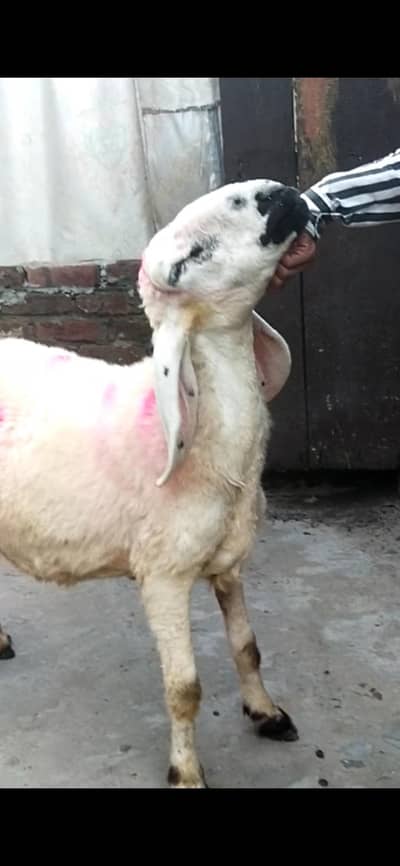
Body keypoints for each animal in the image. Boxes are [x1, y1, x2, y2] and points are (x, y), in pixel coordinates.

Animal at [0, 179, 309, 787]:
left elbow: (247, 647)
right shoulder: (163, 573)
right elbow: (184, 689)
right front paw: (186, 772)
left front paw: (266, 713)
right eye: (190, 259)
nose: (276, 193)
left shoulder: (228, 560)